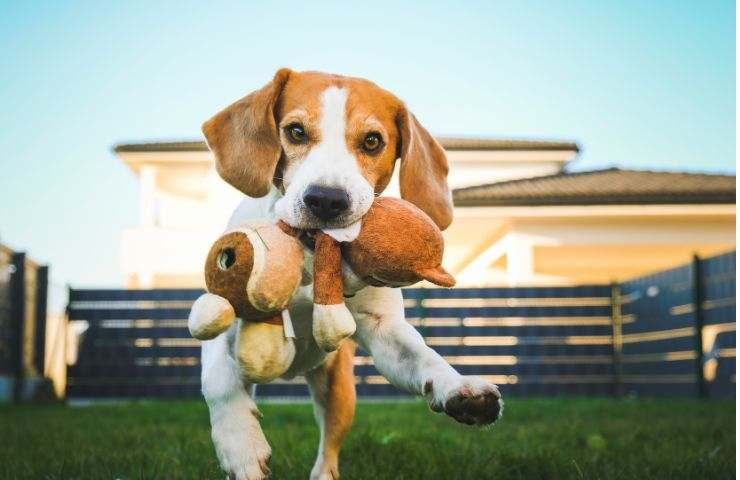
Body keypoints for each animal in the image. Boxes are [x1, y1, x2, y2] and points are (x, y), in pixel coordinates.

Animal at [201, 68, 502, 480]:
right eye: (295, 131)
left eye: (372, 141)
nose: (326, 199)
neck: (310, 258)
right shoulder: (222, 315)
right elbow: (217, 379)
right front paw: (240, 443)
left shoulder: (383, 331)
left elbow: (424, 357)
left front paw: (458, 388)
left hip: (338, 389)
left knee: (328, 447)